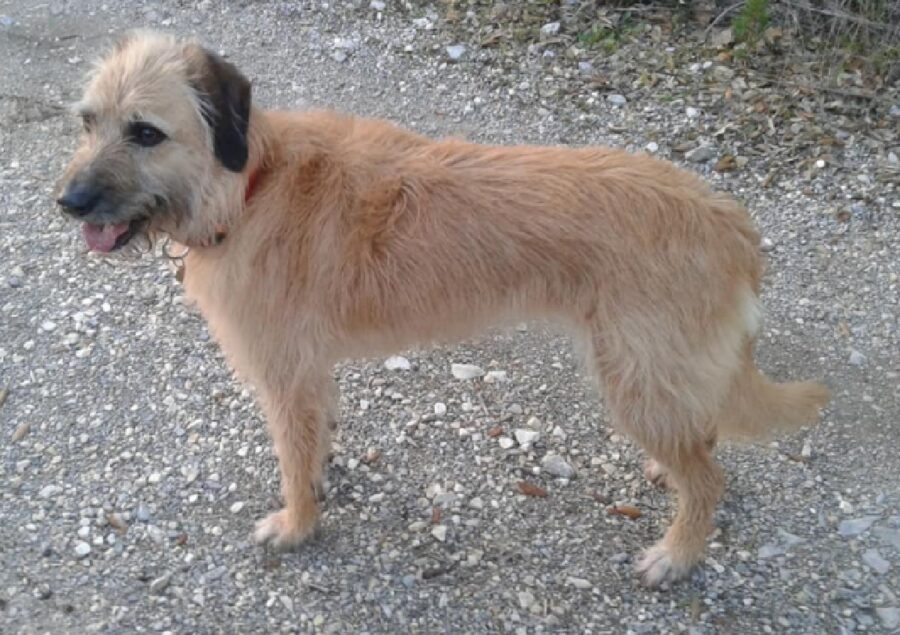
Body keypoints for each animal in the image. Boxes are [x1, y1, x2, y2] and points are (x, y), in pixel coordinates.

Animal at [56, 29, 828, 588]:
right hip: (659, 378)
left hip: (634, 374)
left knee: (711, 477)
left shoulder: (285, 374)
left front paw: (299, 524)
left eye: (146, 132)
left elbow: (292, 459)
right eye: (88, 121)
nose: (67, 202)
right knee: (700, 436)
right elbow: (315, 439)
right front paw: (322, 479)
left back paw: (678, 552)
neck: (249, 186)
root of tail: (729, 221)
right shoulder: (310, 374)